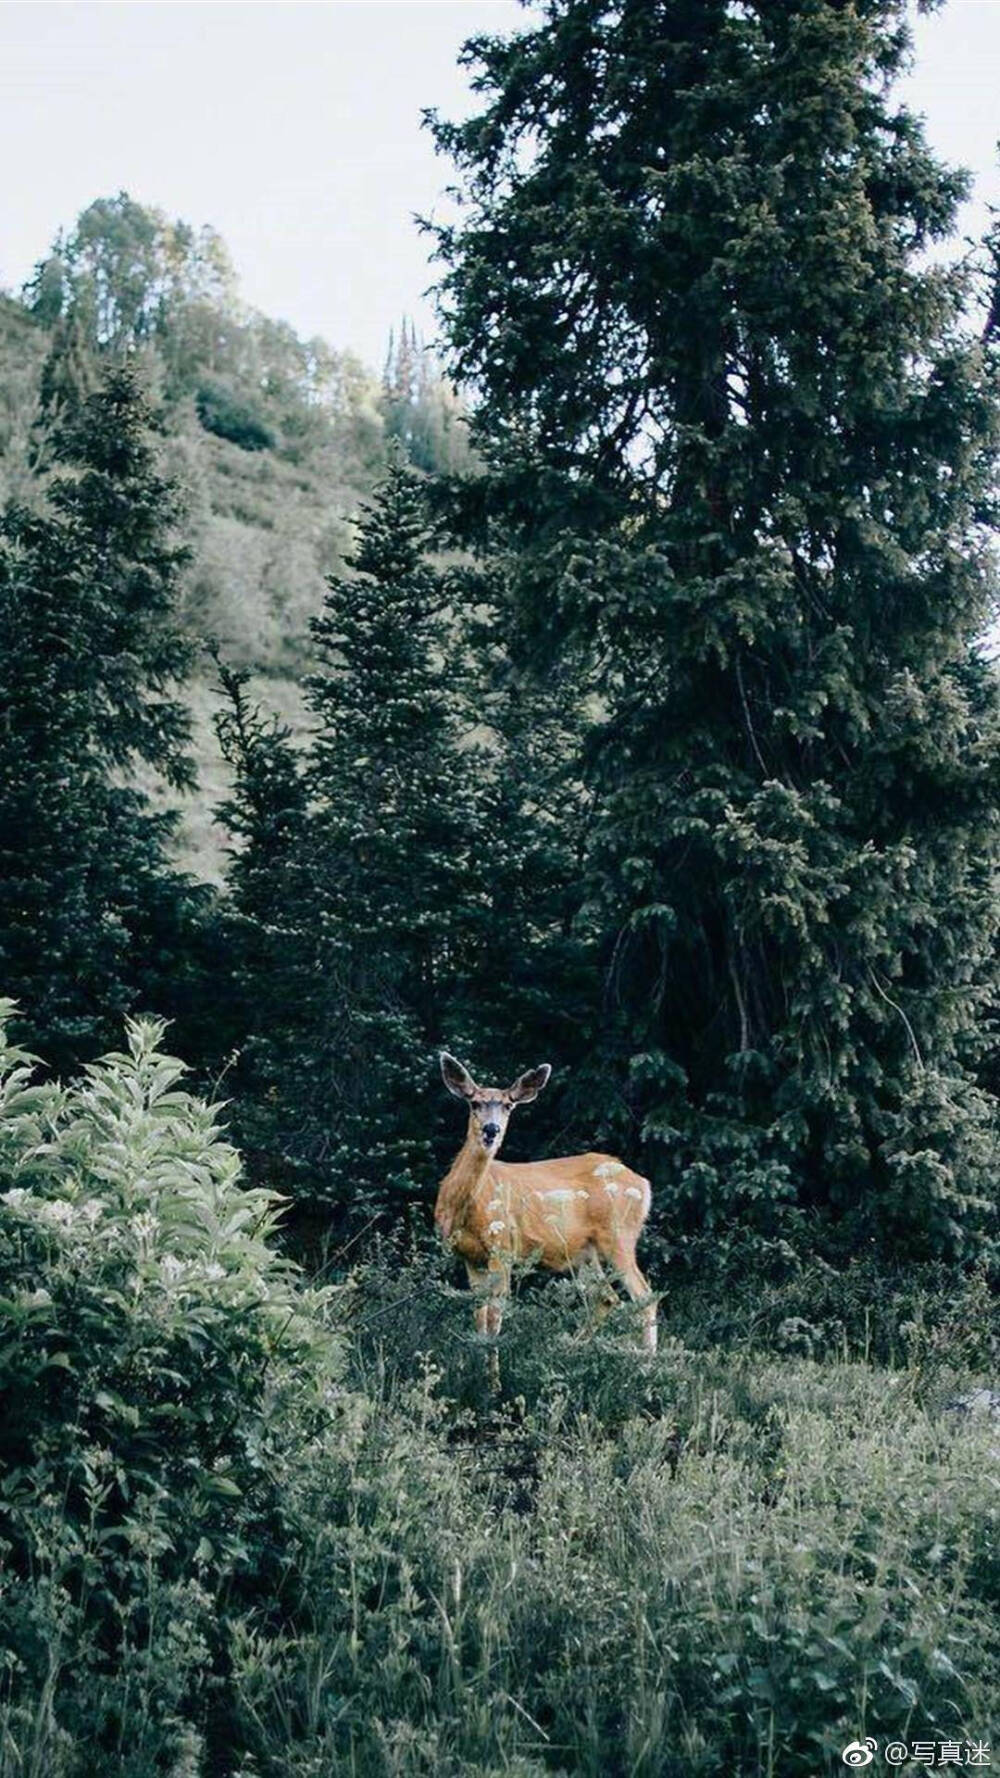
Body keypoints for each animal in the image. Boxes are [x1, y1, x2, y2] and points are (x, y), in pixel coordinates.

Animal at [434, 1052, 654, 1358]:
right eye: (475, 1103)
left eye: (508, 1105)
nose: (491, 1130)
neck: (466, 1207)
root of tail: (643, 1183)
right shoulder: (468, 1257)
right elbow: (479, 1318)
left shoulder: (503, 1248)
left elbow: (494, 1320)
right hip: (585, 1251)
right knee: (606, 1298)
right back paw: (570, 1350)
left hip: (619, 1234)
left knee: (645, 1296)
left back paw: (649, 1362)